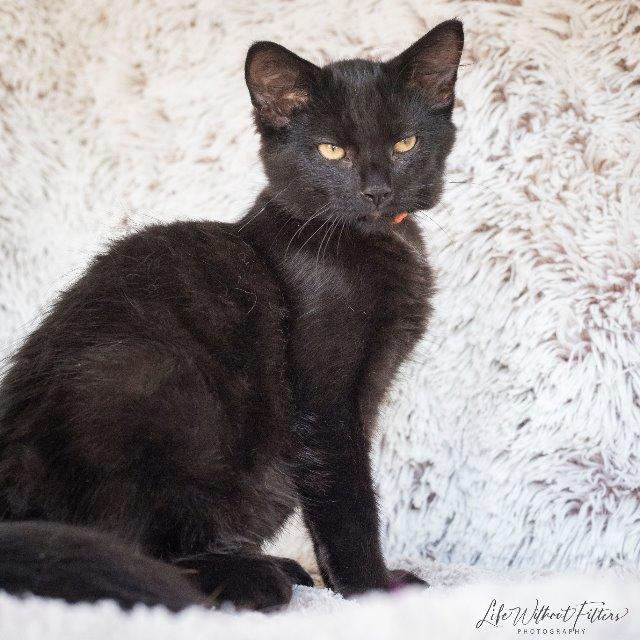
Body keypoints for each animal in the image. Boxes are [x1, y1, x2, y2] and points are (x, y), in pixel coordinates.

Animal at [0, 19, 464, 610]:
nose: (377, 190)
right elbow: (345, 498)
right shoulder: (323, 399)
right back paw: (251, 578)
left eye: (406, 142)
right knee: (136, 549)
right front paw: (372, 592)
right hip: (154, 382)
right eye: (331, 150)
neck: (372, 241)